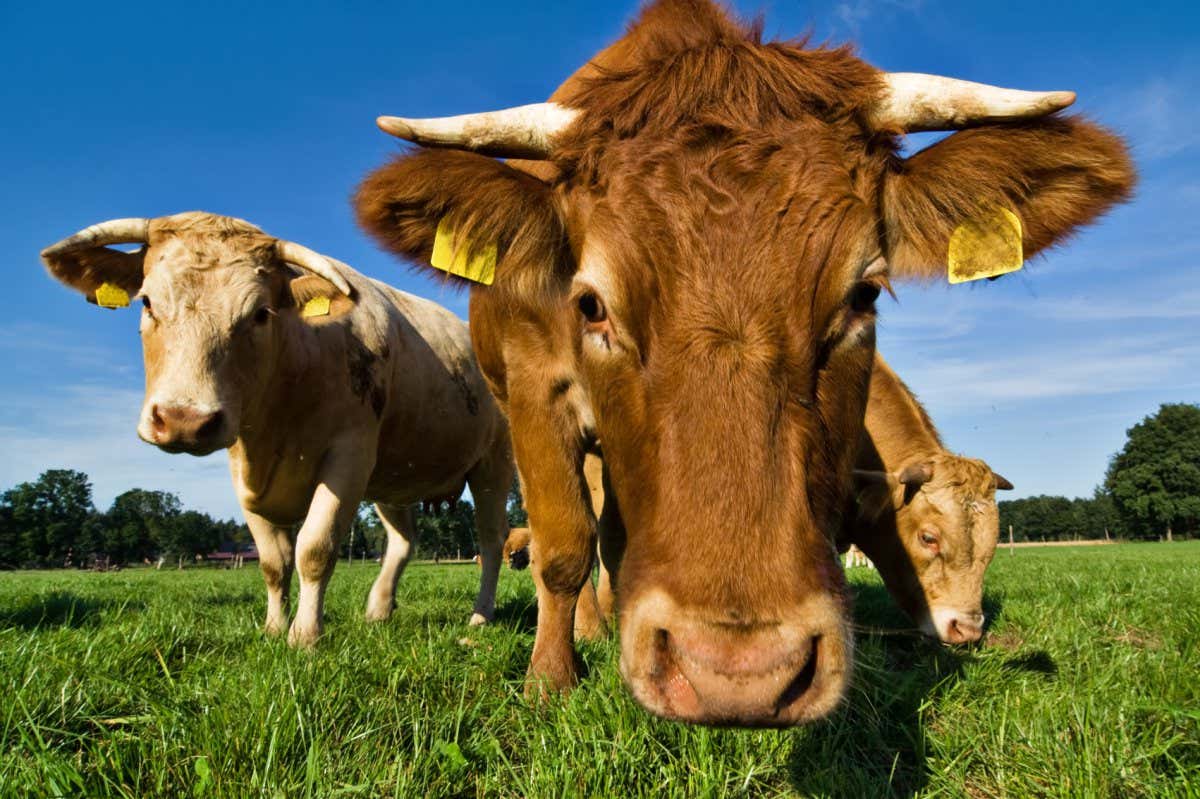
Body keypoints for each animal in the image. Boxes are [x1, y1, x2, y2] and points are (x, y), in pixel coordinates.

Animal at [40, 211, 513, 646]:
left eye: (260, 314)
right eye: (148, 303)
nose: (183, 419)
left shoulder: (349, 457)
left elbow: (314, 548)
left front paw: (304, 636)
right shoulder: (244, 472)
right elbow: (273, 561)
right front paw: (273, 627)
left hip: (494, 464)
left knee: (492, 541)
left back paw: (480, 616)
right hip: (394, 478)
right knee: (403, 541)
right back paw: (378, 611)